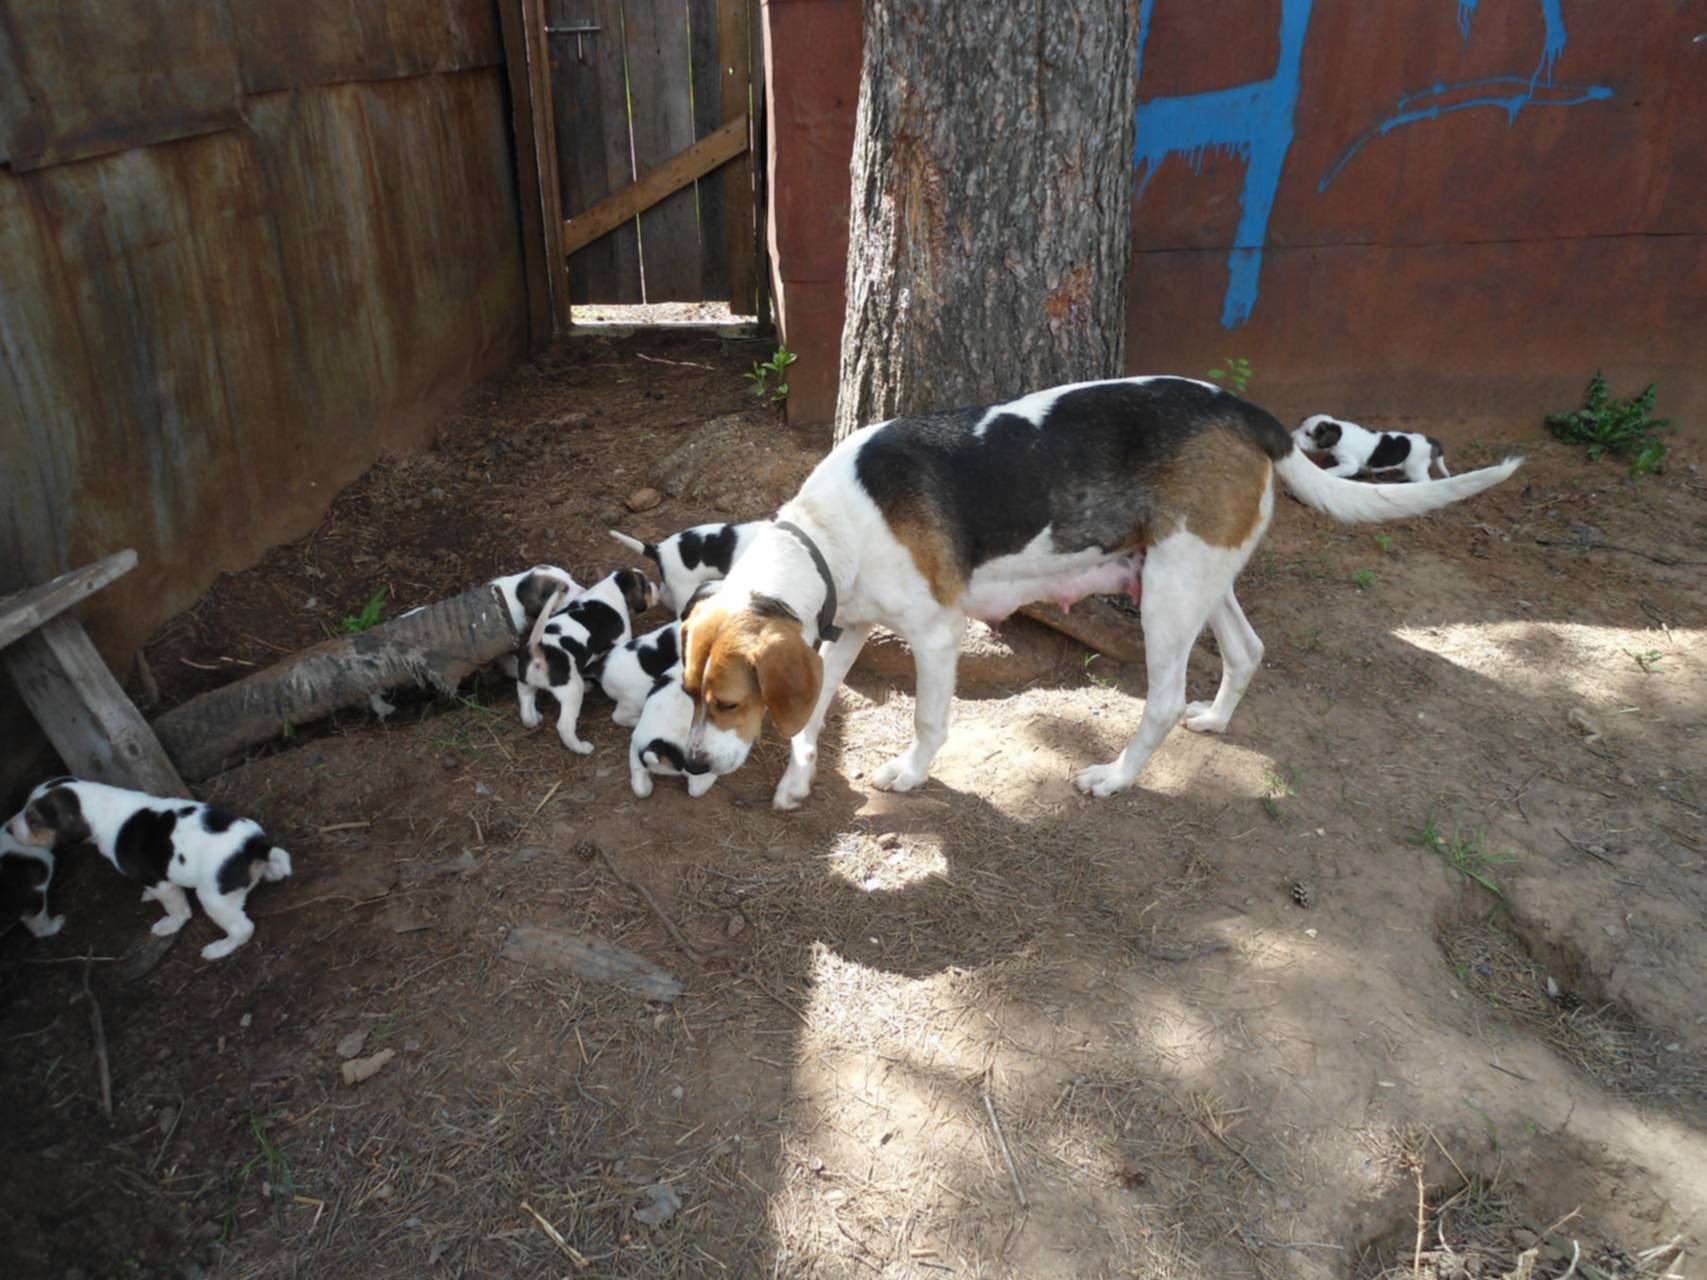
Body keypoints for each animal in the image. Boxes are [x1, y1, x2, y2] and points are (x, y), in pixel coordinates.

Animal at [5, 778, 293, 955]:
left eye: (32, 820)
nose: (7, 829)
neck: (104, 808)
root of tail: (254, 845)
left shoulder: (161, 882)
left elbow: (176, 909)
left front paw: (169, 925)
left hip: (213, 898)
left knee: (243, 928)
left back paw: (219, 948)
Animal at [515, 570, 655, 750]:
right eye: (646, 586)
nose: (656, 587)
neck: (611, 587)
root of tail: (537, 650)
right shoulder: (621, 640)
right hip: (572, 692)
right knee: (564, 726)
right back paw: (581, 748)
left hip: (524, 684)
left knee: (526, 709)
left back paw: (534, 718)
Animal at [1297, 418, 1447, 484]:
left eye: (1308, 433)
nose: (1293, 437)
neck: (1340, 431)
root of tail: (1430, 440)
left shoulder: (1349, 464)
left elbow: (1332, 470)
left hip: (1417, 468)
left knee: (1424, 481)